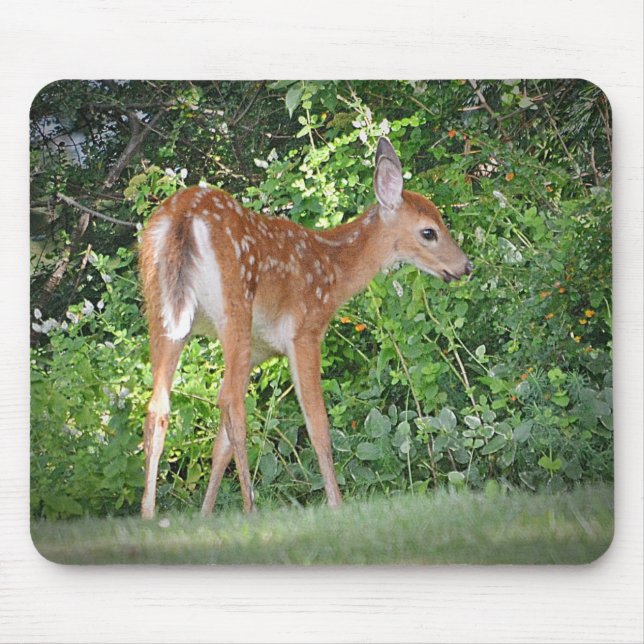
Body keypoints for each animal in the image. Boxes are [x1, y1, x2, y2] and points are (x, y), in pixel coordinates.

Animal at [138, 137, 473, 519]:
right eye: (429, 232)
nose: (465, 266)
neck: (333, 271)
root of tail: (183, 216)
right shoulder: (305, 331)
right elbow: (318, 424)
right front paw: (336, 503)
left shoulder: (260, 350)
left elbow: (220, 446)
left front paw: (205, 514)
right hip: (234, 305)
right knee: (230, 402)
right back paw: (250, 508)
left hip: (161, 312)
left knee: (158, 407)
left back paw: (148, 514)